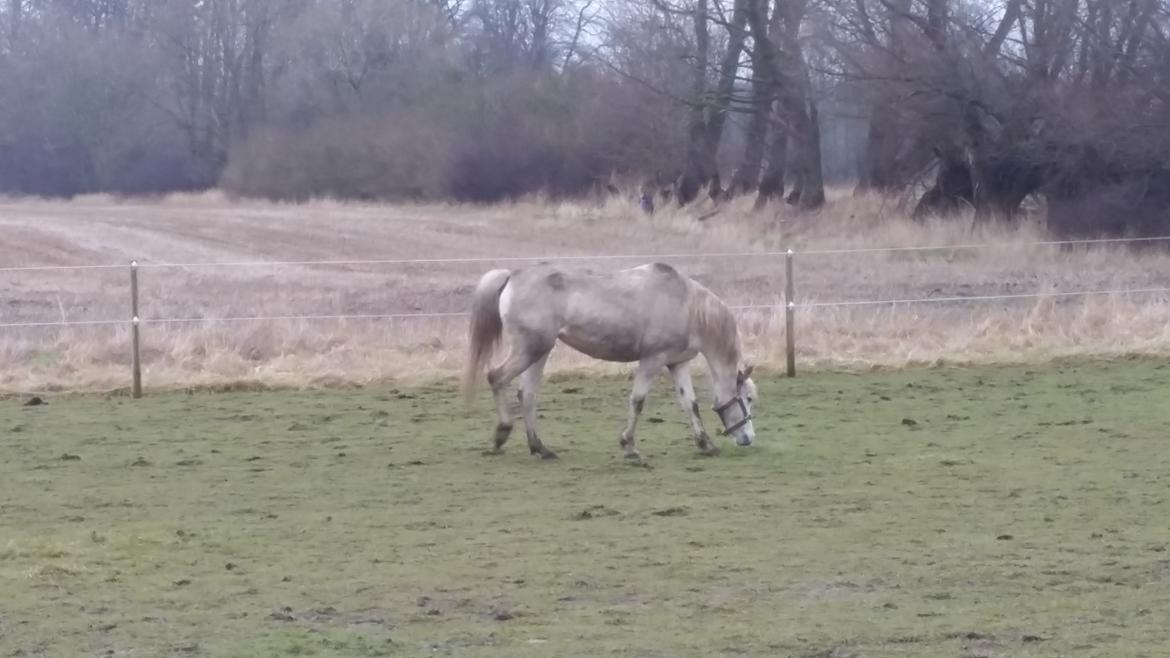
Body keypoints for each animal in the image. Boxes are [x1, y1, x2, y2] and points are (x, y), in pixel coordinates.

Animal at [460, 258, 762, 458]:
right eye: (747, 398)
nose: (749, 438)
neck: (687, 305)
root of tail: (511, 275)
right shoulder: (652, 360)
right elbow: (638, 401)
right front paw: (629, 446)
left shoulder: (677, 363)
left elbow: (690, 404)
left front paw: (705, 444)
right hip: (528, 350)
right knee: (496, 377)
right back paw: (502, 434)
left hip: (539, 352)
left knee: (527, 394)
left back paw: (540, 448)